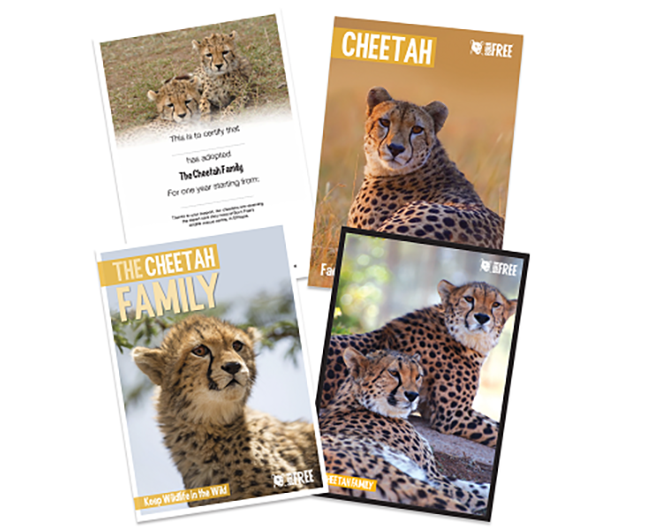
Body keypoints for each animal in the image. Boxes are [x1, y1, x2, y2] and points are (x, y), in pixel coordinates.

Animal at [319, 279, 517, 448]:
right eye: (469, 299)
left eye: (496, 304)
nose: (482, 317)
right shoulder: (451, 416)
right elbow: (494, 431)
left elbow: (494, 422)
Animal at [320, 346, 490, 514]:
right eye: (394, 373)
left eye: (418, 376)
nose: (413, 395)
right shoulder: (432, 477)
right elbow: (472, 495)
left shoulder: (431, 475)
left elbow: (470, 484)